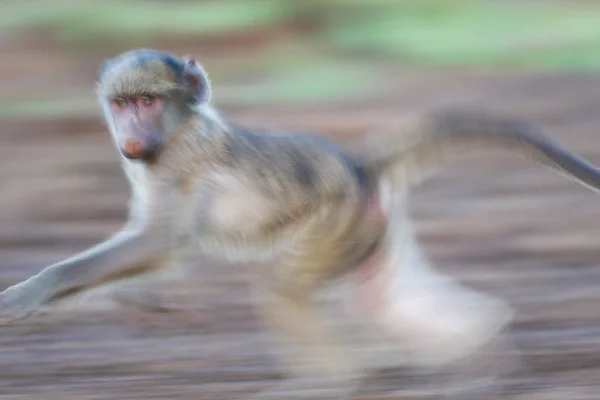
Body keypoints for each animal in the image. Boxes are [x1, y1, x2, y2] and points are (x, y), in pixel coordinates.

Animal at [1, 48, 600, 398]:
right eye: (122, 103)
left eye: (147, 101)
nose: (130, 135)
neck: (175, 132)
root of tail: (357, 167)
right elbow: (161, 250)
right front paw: (140, 300)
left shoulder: (177, 163)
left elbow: (160, 241)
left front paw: (27, 295)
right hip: (367, 232)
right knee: (379, 301)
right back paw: (485, 349)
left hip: (336, 222)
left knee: (284, 287)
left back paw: (331, 385)